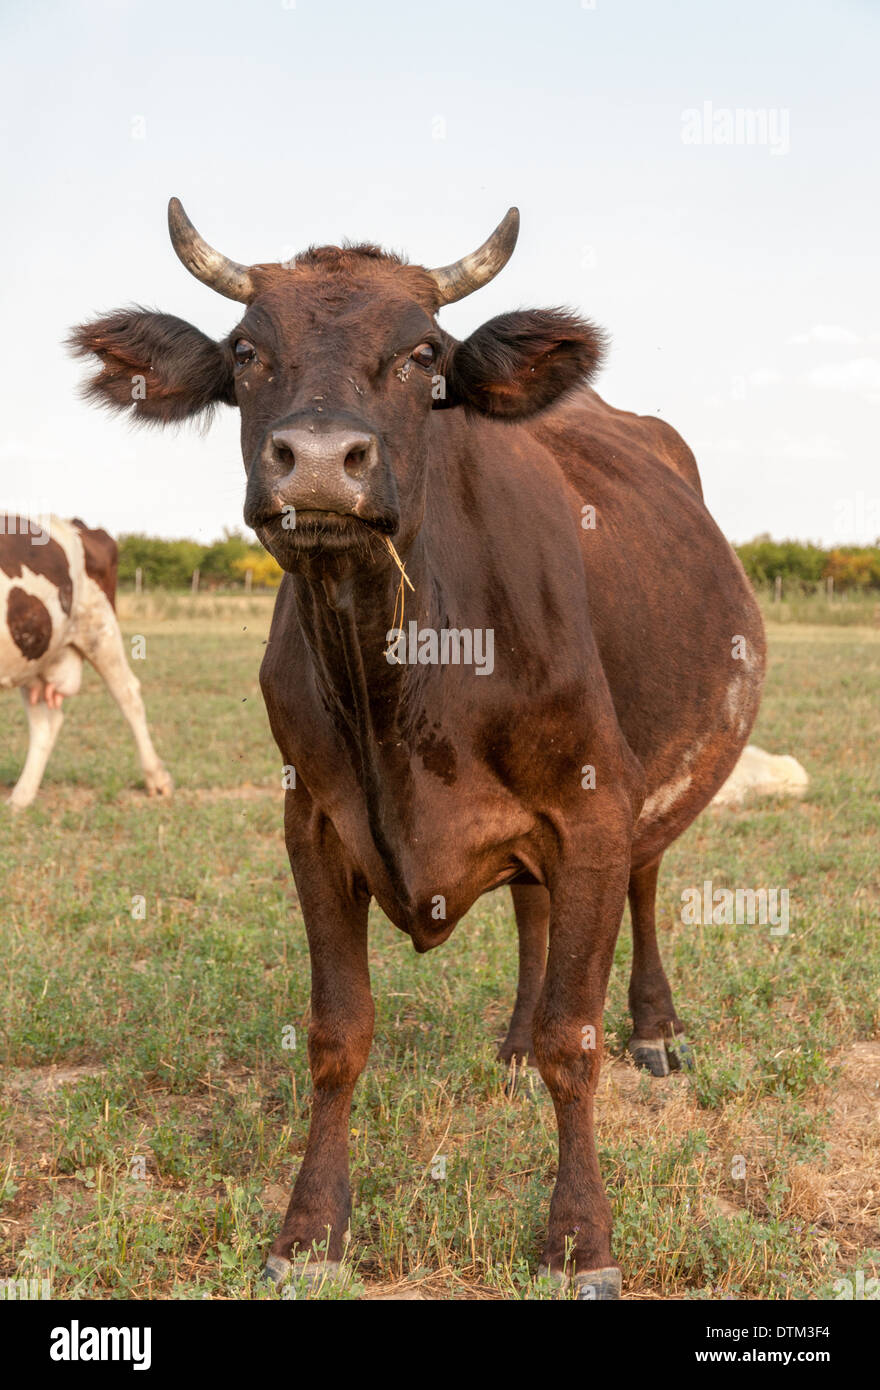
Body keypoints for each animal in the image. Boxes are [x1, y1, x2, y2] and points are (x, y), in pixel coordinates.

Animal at [1, 515, 173, 809]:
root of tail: (77, 524)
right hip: (33, 656)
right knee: (45, 723)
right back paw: (21, 798)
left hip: (100, 629)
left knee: (128, 695)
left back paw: (156, 778)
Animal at [69, 199, 766, 1298]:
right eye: (246, 352)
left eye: (422, 356)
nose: (319, 459)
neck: (393, 674)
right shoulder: (313, 820)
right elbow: (337, 1033)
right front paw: (311, 1228)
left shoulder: (593, 804)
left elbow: (577, 1036)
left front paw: (580, 1238)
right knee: (532, 909)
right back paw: (511, 1042)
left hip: (649, 784)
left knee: (648, 885)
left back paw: (657, 1029)